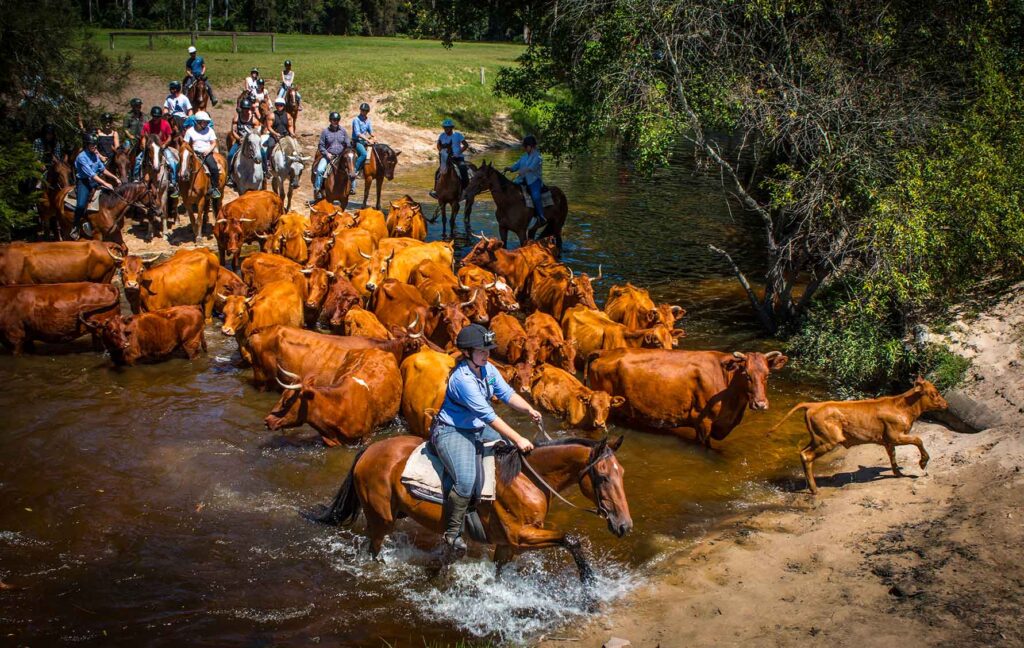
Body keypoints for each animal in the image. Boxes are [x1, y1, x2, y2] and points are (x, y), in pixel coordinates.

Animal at [313, 434, 630, 581]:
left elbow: (500, 571)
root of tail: (370, 449)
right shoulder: (521, 536)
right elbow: (571, 540)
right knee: (374, 549)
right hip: (381, 518)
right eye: (603, 477)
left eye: (622, 473)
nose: (624, 526)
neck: (526, 479)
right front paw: (589, 582)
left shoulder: (507, 544)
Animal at [770, 376, 946, 493]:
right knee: (806, 456)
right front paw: (923, 462)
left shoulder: (888, 441)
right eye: (934, 393)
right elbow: (918, 439)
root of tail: (813, 405)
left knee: (803, 452)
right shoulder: (896, 435)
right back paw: (815, 490)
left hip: (818, 439)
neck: (903, 408)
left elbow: (893, 456)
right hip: (828, 440)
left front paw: (899, 474)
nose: (946, 404)